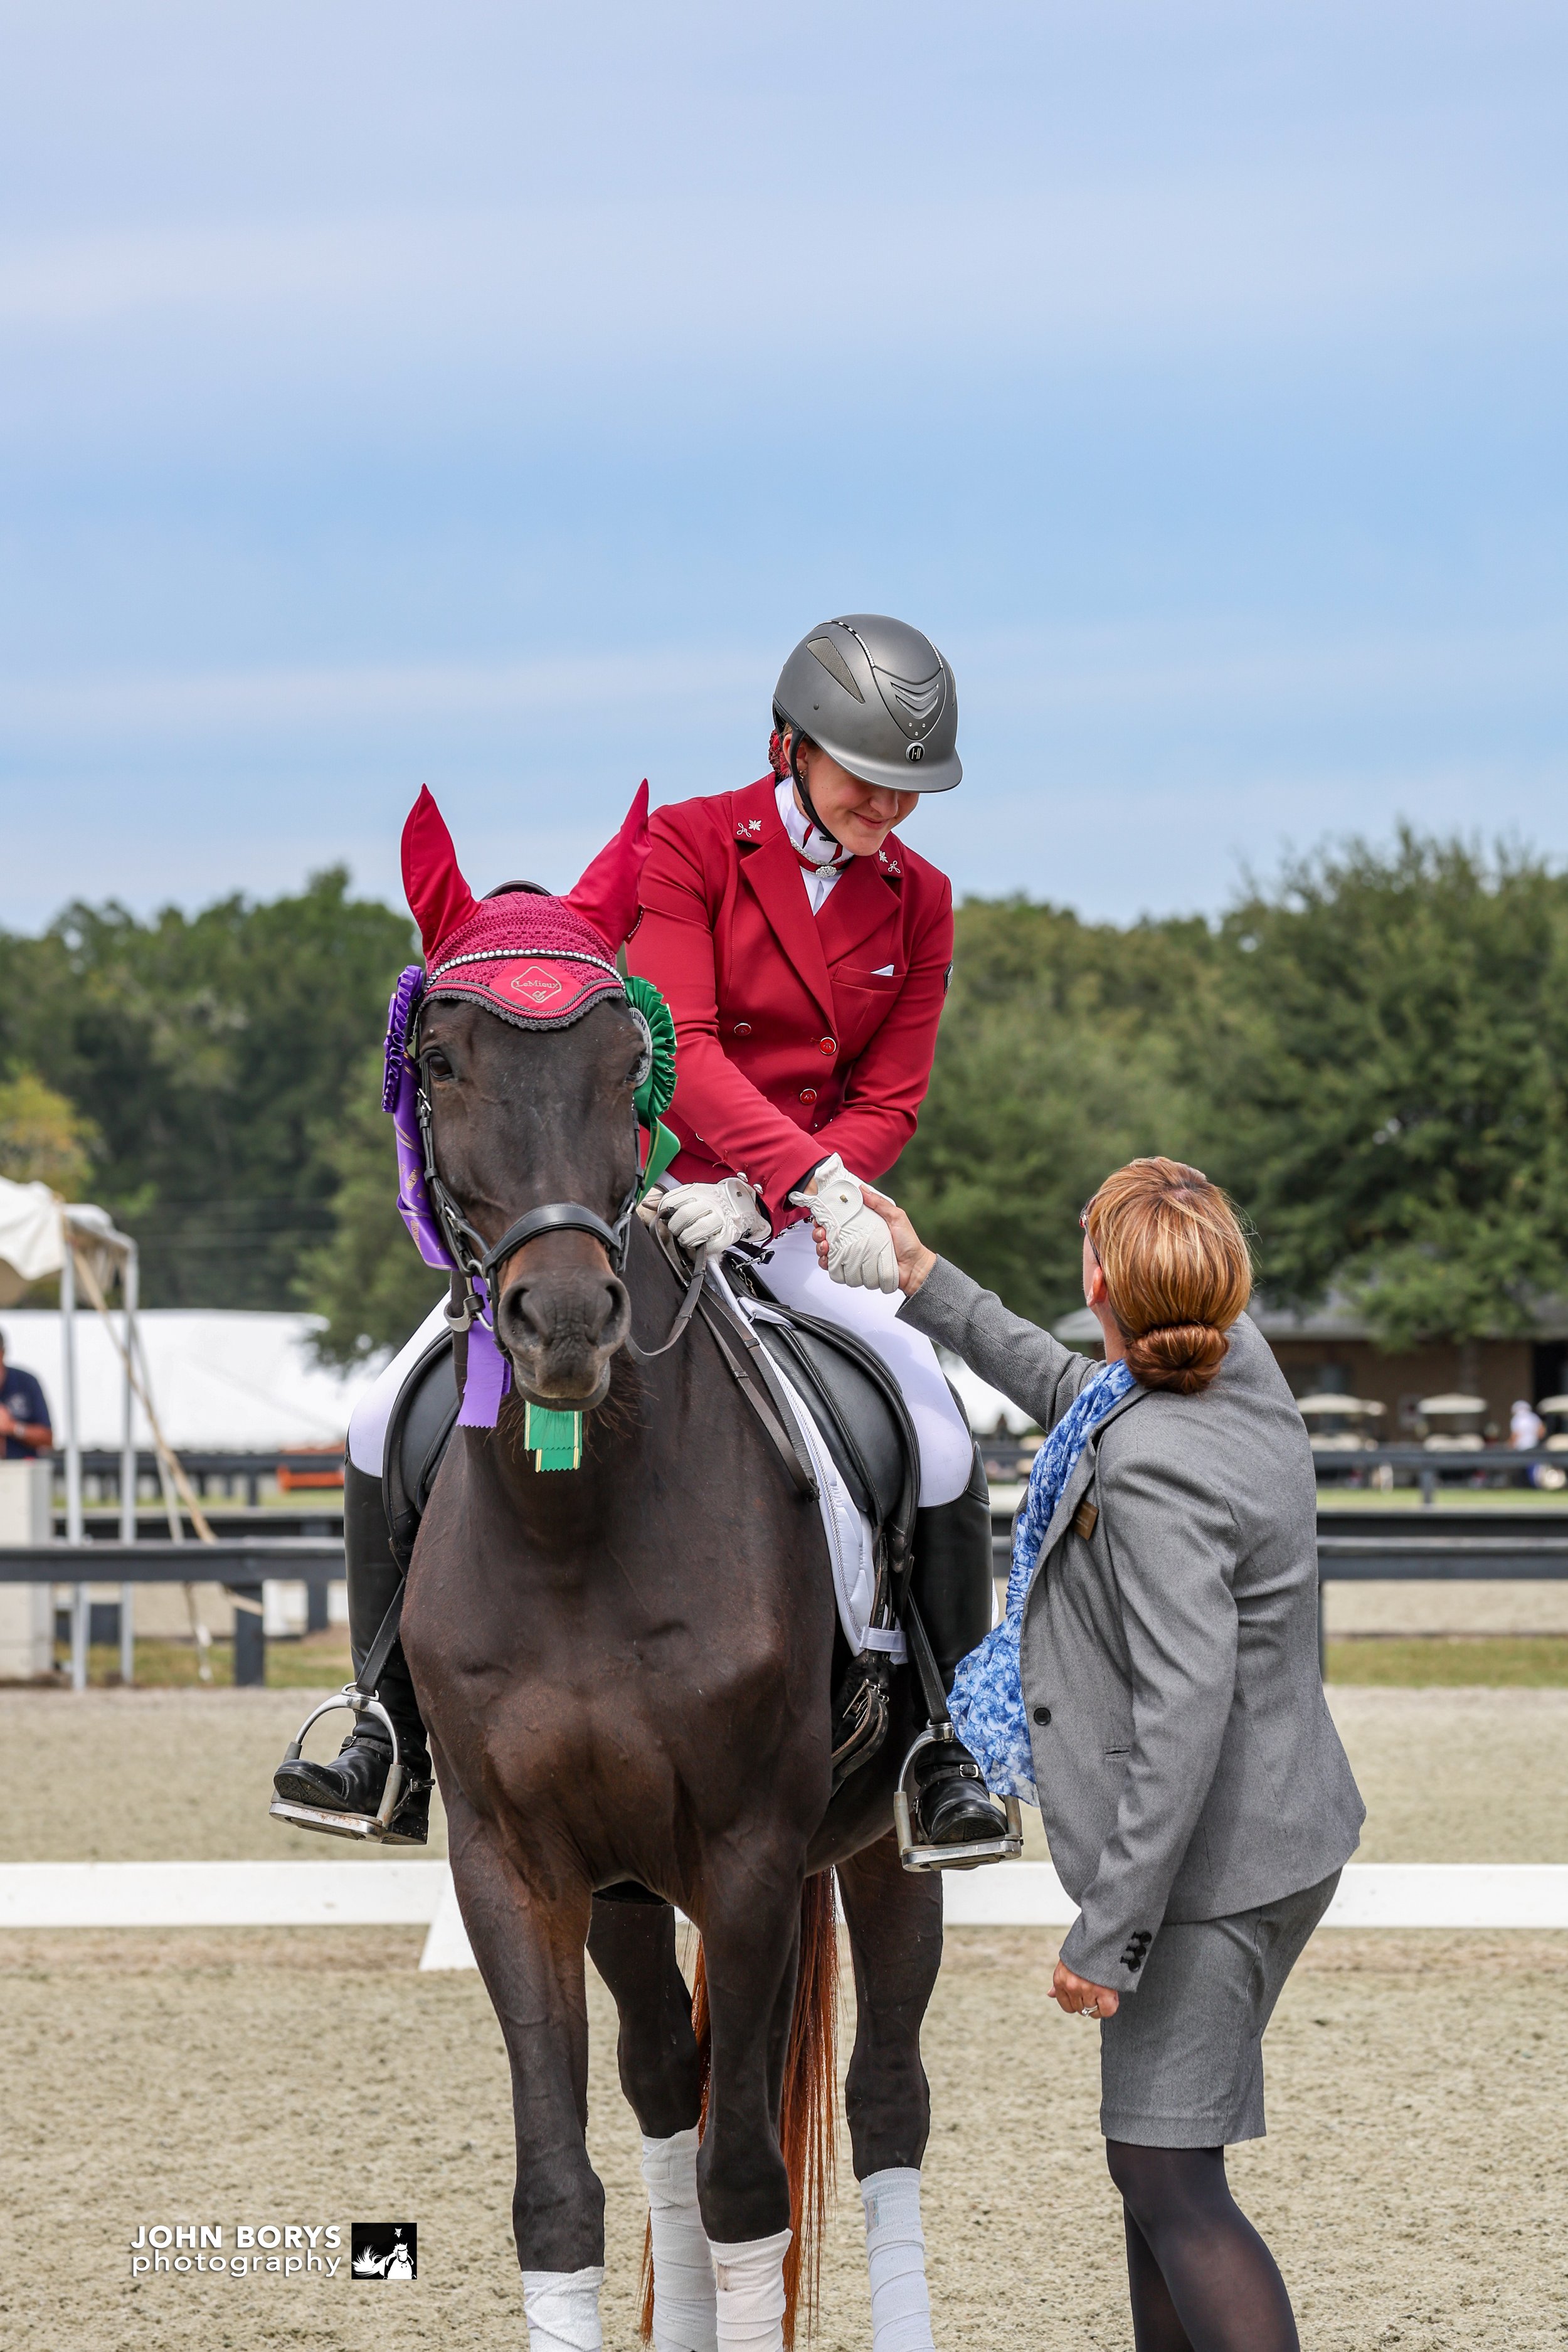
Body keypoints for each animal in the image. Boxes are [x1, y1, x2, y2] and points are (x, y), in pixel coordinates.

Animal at [401, 983, 945, 2343]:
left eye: (625, 1064)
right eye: (440, 1064)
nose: (564, 1323)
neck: (576, 1525)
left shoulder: (751, 1857)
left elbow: (745, 2179)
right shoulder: (515, 1864)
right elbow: (562, 2188)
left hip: (875, 1845)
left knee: (881, 2100)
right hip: (630, 1891)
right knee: (663, 2080)